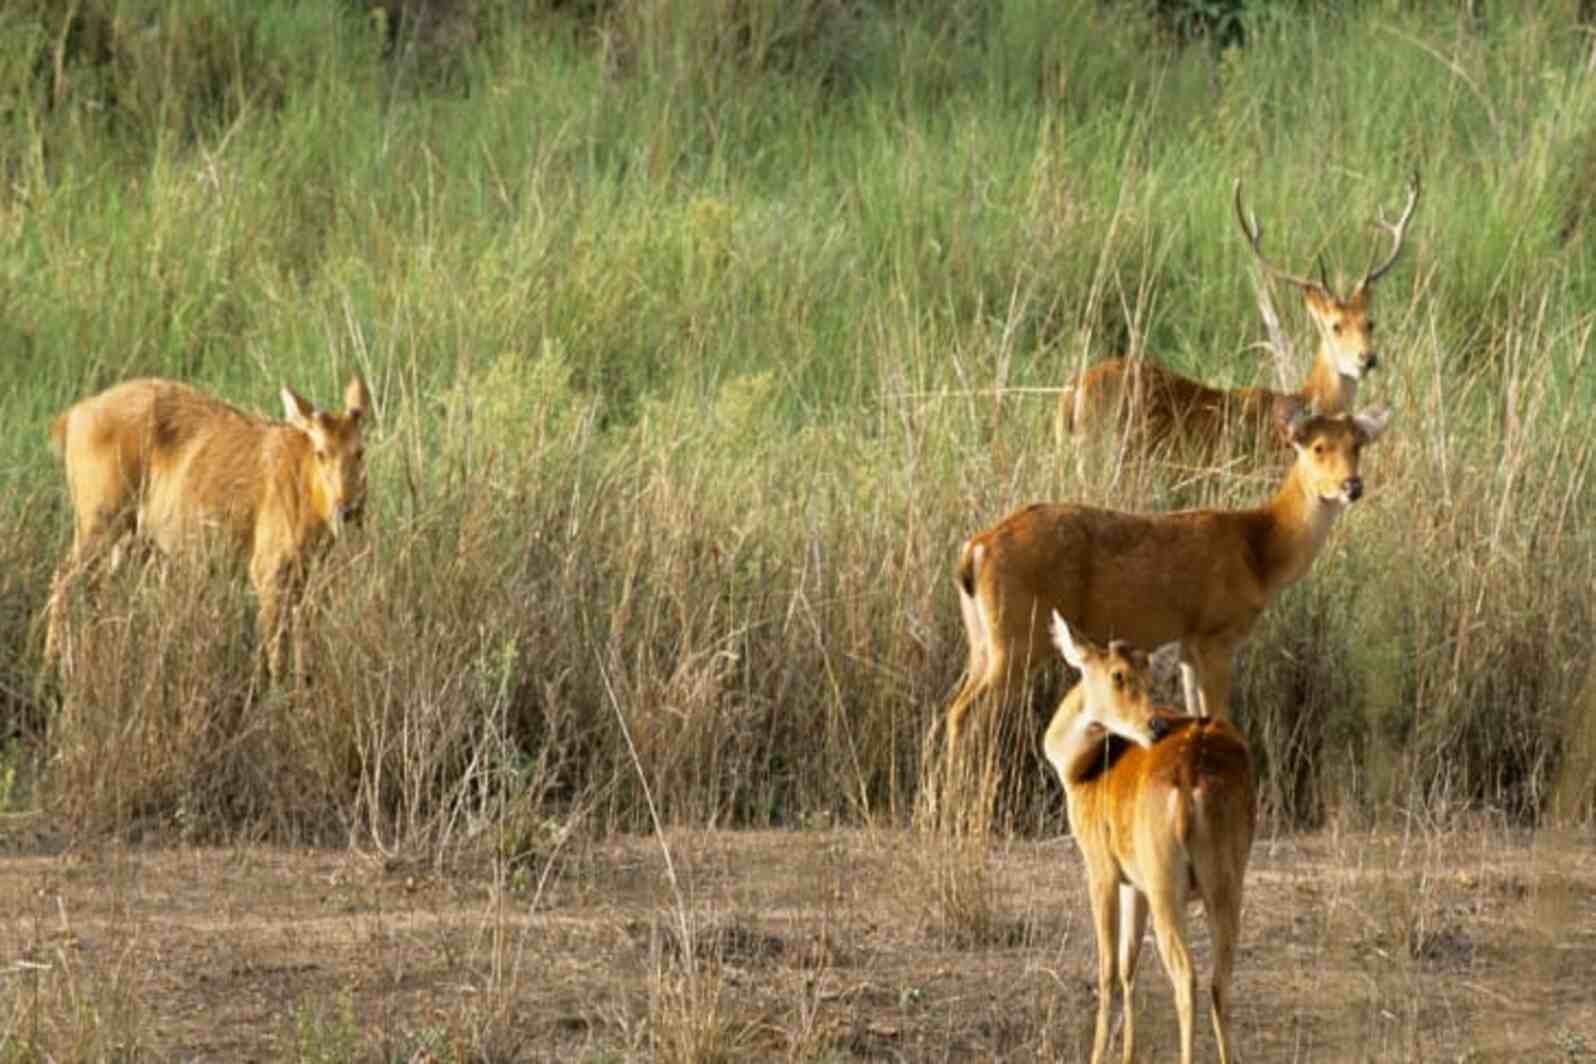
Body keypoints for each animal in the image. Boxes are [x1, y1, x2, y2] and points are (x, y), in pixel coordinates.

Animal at [44, 373, 370, 673]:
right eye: (321, 452)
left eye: (360, 451)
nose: (348, 509)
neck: (307, 489)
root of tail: (72, 417)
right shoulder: (267, 568)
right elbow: (276, 649)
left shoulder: (304, 573)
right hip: (98, 521)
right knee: (63, 578)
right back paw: (51, 665)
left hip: (126, 537)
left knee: (96, 587)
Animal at [944, 403, 1385, 788]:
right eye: (1317, 446)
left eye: (1357, 445)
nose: (1352, 485)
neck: (1259, 551)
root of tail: (975, 550)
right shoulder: (1216, 634)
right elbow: (1220, 715)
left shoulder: (1188, 644)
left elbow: (1198, 714)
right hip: (1016, 640)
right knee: (965, 712)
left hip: (982, 641)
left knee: (955, 706)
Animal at [1046, 615, 1257, 1064]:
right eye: (1118, 674)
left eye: (1150, 676)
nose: (1155, 724)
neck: (1079, 770)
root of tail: (1193, 774)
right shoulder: (1135, 882)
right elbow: (1130, 964)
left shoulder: (1102, 868)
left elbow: (1108, 969)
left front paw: (1098, 1054)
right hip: (1226, 880)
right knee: (1220, 981)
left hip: (1166, 883)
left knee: (1186, 976)